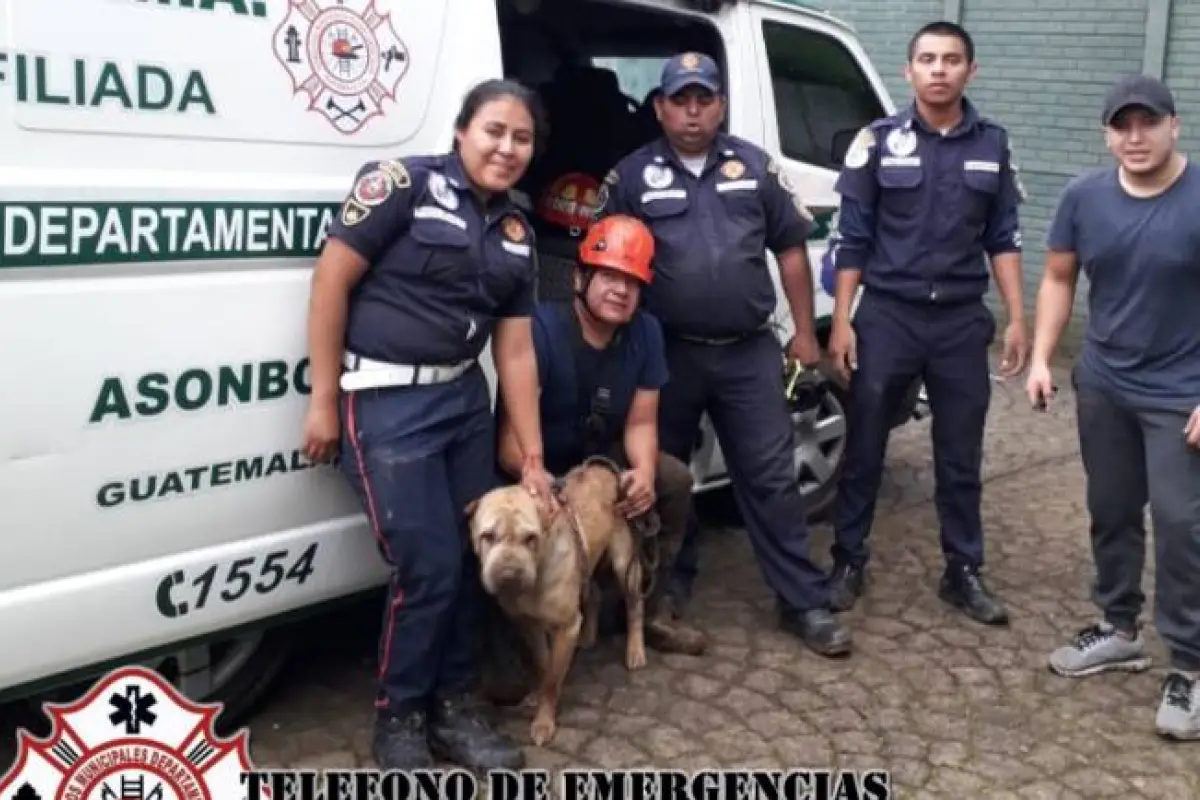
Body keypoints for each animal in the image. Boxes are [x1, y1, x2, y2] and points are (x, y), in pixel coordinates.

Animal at [465, 460, 648, 748]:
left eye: (530, 538)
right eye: (488, 536)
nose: (509, 574)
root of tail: (603, 467)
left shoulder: (565, 627)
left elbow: (552, 679)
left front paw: (544, 722)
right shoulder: (527, 624)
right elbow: (543, 665)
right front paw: (538, 693)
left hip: (624, 563)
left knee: (634, 603)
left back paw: (635, 650)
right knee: (594, 594)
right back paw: (588, 636)